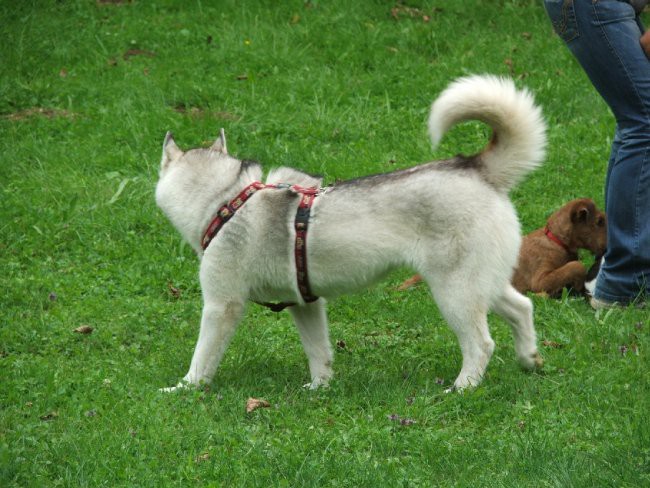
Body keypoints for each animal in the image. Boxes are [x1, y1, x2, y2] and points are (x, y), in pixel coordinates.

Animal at [157, 74, 548, 390]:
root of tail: (476, 167)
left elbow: (202, 357)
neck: (226, 200)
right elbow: (319, 353)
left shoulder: (221, 306)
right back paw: (529, 360)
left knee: (481, 344)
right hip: (483, 283)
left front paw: (185, 389)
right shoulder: (306, 304)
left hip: (454, 293)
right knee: (522, 307)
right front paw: (319, 388)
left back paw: (462, 387)